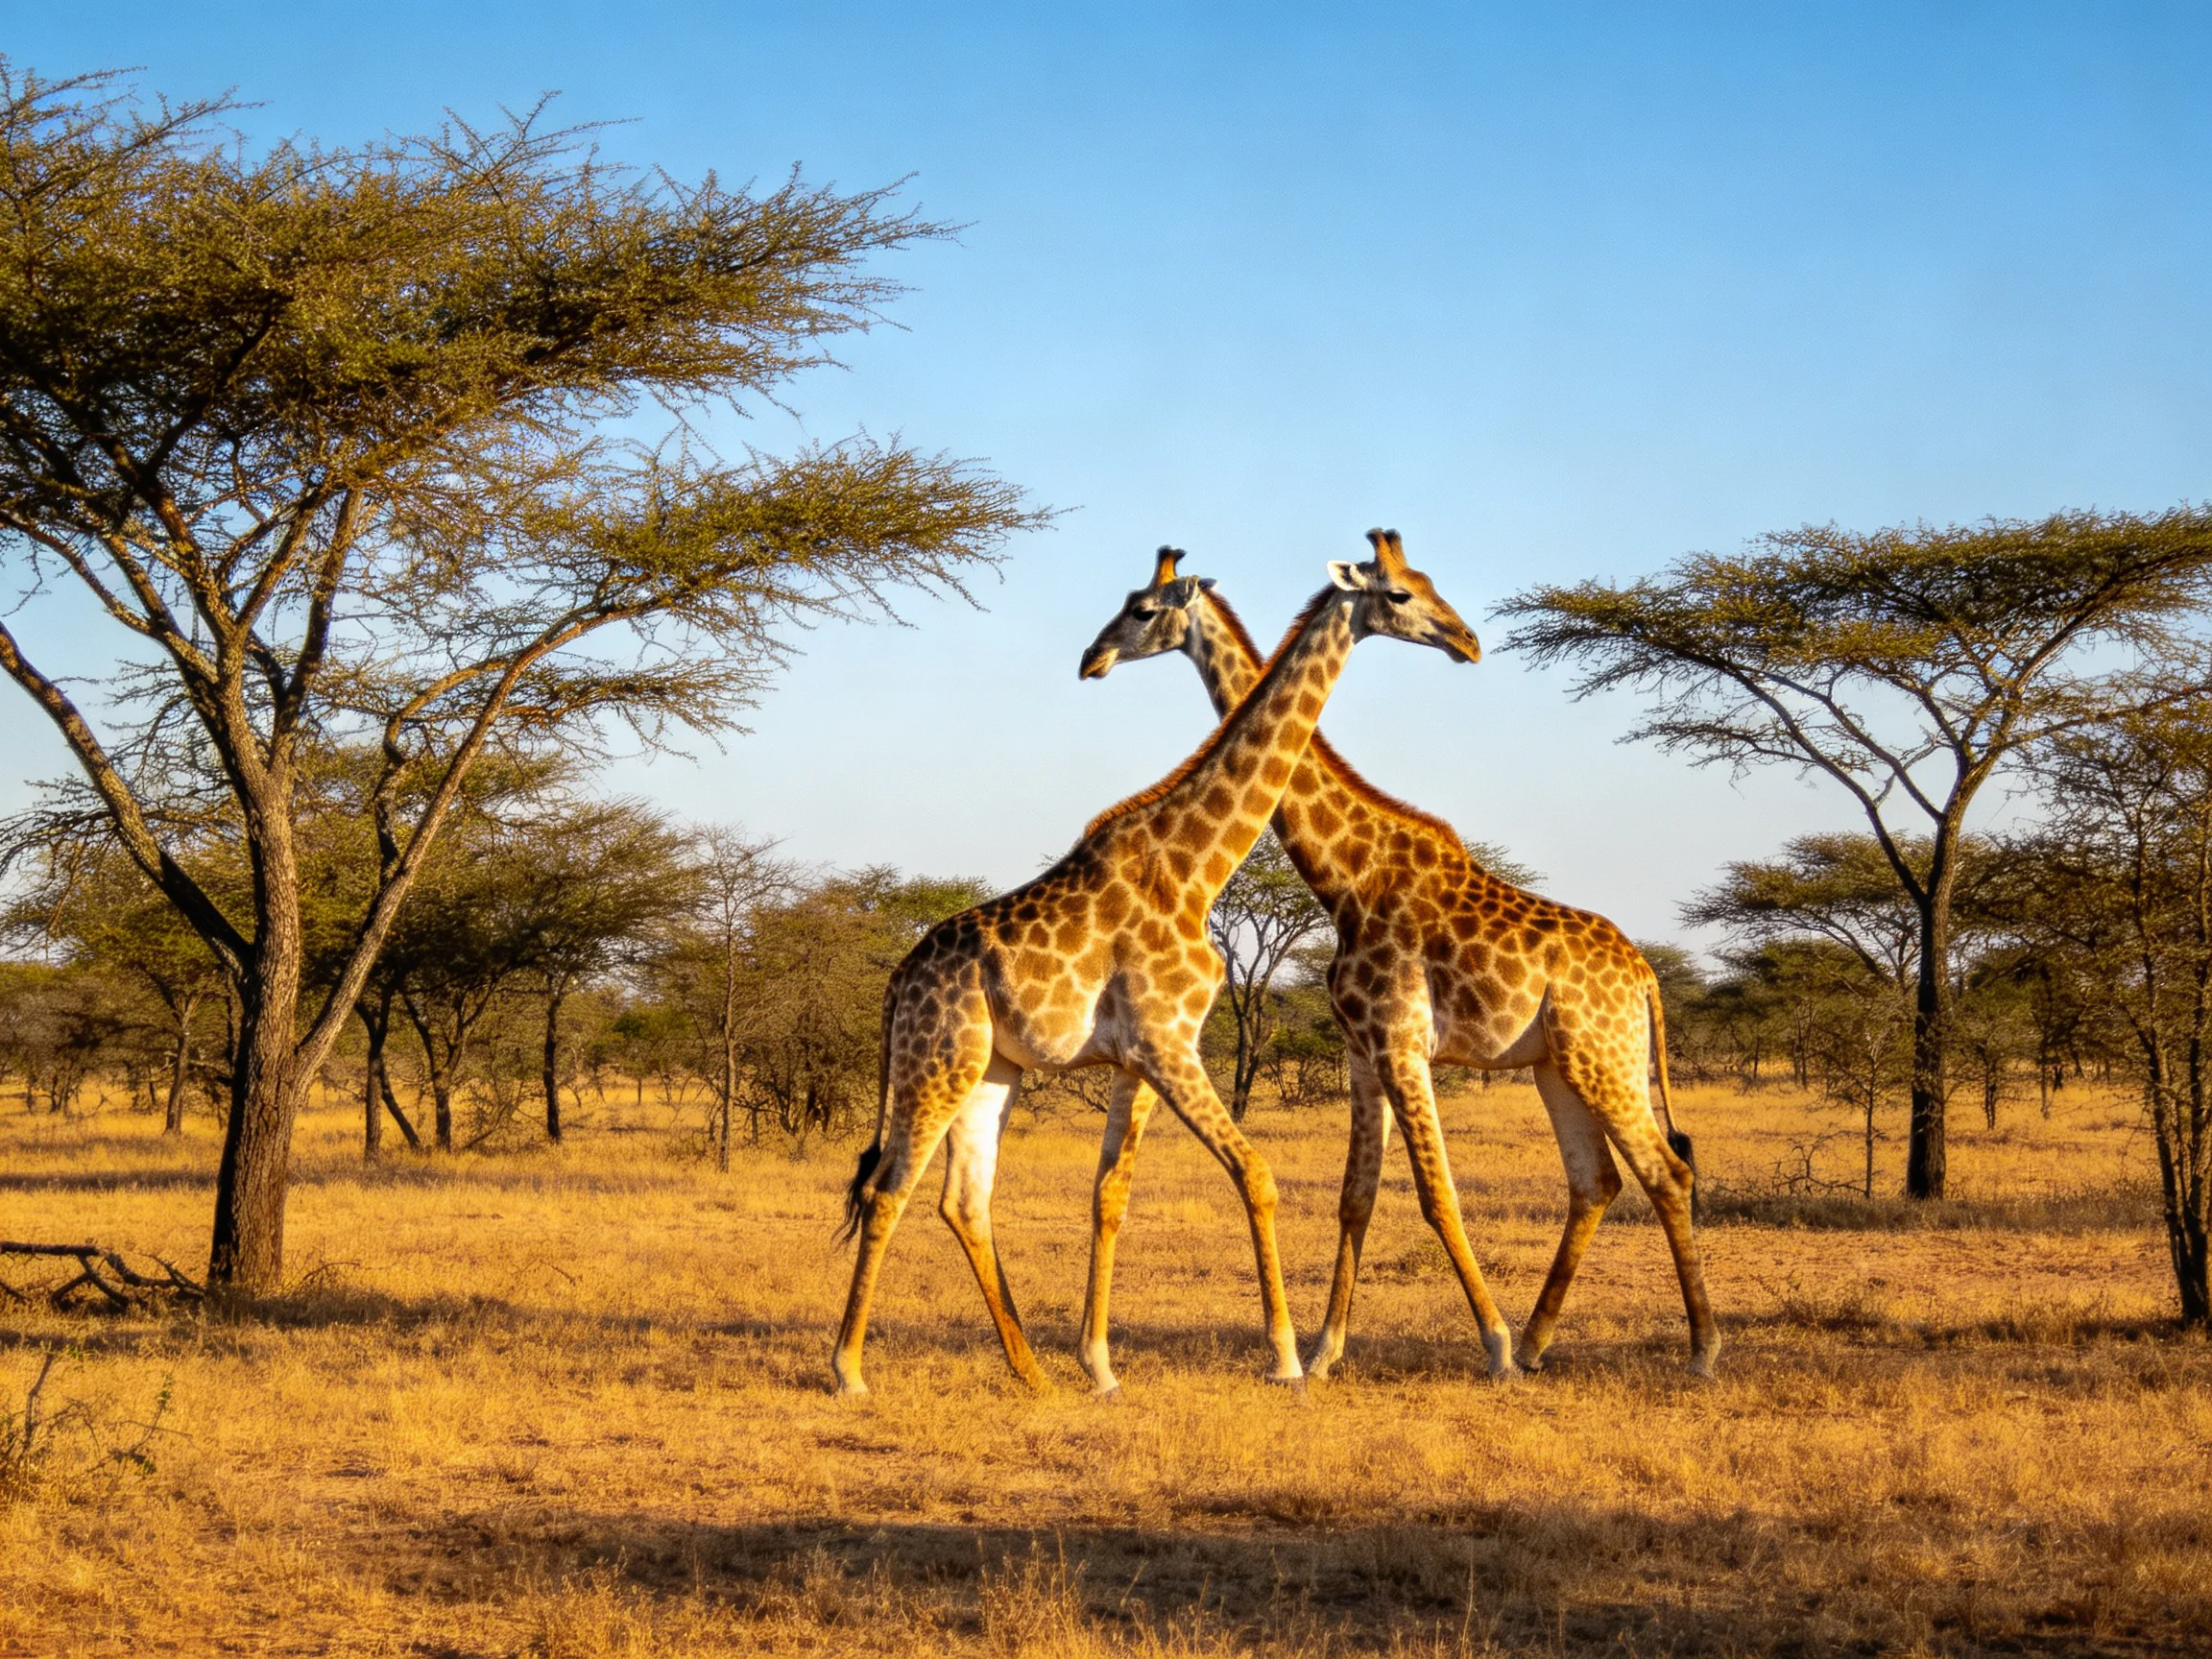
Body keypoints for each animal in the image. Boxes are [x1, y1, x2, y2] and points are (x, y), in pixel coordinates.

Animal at [831, 537, 1482, 1398]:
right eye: (1401, 595)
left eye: (1428, 584)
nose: (1467, 641)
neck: (1193, 866)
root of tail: (896, 984)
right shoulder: (1170, 1043)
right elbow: (1256, 1173)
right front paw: (1283, 1357)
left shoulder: (1136, 1056)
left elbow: (1111, 1192)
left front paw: (1101, 1366)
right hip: (937, 1062)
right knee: (887, 1189)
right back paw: (848, 1370)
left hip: (992, 1068)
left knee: (962, 1201)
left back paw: (1033, 1373)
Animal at [1078, 539, 1719, 1380]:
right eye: (1407, 591)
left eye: (1142, 610)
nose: (1091, 657)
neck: (1347, 873)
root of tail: (1646, 976)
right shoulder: (1361, 1048)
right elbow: (1357, 1196)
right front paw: (1324, 1352)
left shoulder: (1402, 1042)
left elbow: (1435, 1192)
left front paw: (1491, 1347)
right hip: (1560, 1064)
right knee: (1596, 1181)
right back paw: (1541, 1343)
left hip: (1604, 1060)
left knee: (1665, 1173)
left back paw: (1699, 1351)